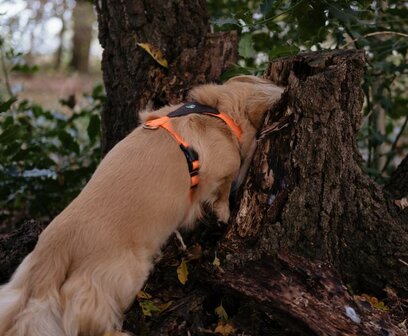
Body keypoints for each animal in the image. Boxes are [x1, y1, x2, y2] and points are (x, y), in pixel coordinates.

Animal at [0, 76, 284, 336]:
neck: (216, 111)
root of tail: (54, 252)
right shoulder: (223, 169)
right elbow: (224, 189)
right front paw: (224, 212)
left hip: (20, 287)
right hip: (124, 275)